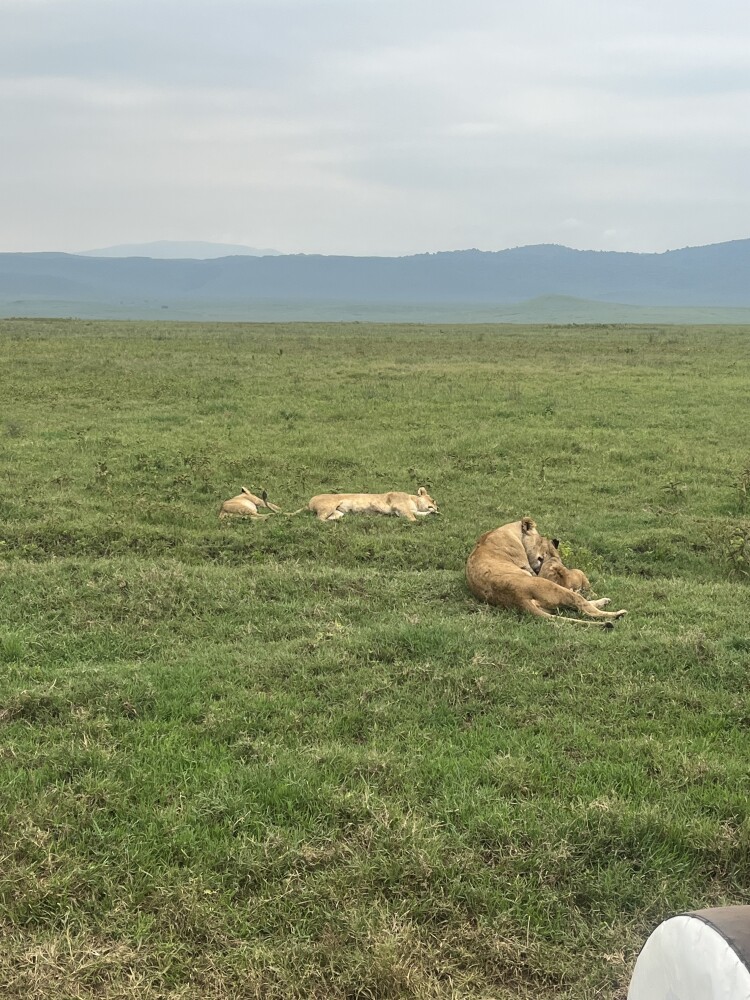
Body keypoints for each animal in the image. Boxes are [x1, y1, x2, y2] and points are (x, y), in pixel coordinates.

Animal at [465, 518, 626, 626]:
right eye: (541, 541)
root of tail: (518, 598)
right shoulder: (528, 566)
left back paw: (604, 602)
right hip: (553, 588)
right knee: (585, 607)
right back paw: (617, 614)